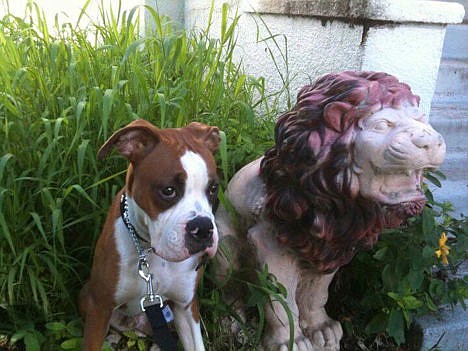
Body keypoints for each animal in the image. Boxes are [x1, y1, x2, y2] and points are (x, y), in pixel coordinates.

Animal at [79, 119, 220, 350]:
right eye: (168, 190)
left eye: (213, 188)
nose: (203, 228)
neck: (149, 252)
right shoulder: (99, 307)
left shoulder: (186, 307)